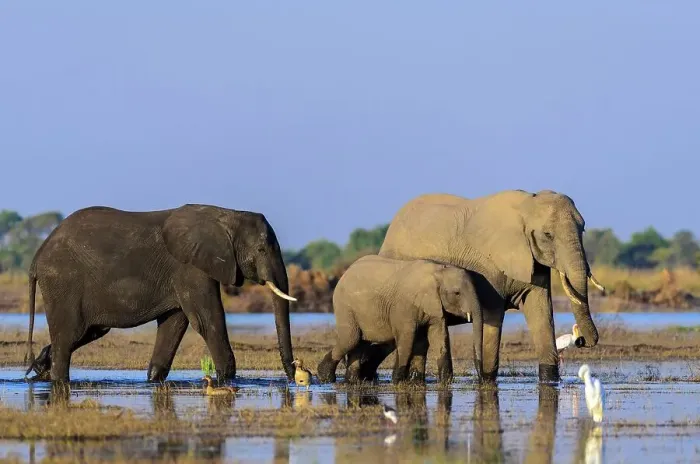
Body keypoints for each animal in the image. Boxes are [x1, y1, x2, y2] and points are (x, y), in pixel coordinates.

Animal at [23, 204, 297, 383]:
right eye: (261, 250)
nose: (297, 377)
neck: (227, 215)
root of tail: (37, 257)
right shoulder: (190, 268)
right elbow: (207, 320)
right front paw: (227, 380)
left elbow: (174, 324)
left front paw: (154, 379)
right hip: (62, 284)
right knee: (69, 337)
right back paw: (57, 379)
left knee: (87, 332)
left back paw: (40, 369)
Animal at [316, 255, 483, 384]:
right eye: (457, 293)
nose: (480, 378)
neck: (438, 271)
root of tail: (345, 273)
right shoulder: (404, 306)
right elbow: (407, 338)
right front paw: (397, 381)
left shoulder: (435, 306)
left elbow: (440, 336)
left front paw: (445, 382)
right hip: (344, 306)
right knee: (351, 339)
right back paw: (325, 378)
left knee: (359, 342)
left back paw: (353, 381)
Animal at [354, 189, 605, 383]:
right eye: (548, 235)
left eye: (583, 229)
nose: (582, 341)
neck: (527, 205)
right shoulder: (488, 267)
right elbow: (493, 315)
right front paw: (486, 380)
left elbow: (541, 312)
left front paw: (550, 381)